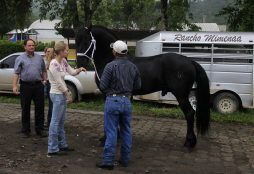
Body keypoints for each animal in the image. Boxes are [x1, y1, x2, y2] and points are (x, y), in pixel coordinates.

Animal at [76, 25, 210, 148]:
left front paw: (105, 139)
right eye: (77, 41)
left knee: (189, 113)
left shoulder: (107, 94)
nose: (80, 63)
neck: (111, 59)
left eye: (87, 42)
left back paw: (189, 142)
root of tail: (190, 61)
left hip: (181, 95)